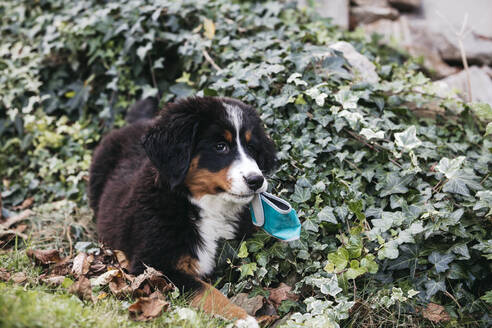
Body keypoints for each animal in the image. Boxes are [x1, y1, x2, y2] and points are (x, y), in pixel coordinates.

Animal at [88, 96, 276, 326]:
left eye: (251, 147)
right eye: (220, 146)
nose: (256, 180)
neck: (206, 207)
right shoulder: (155, 264)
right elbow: (207, 291)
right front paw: (241, 318)